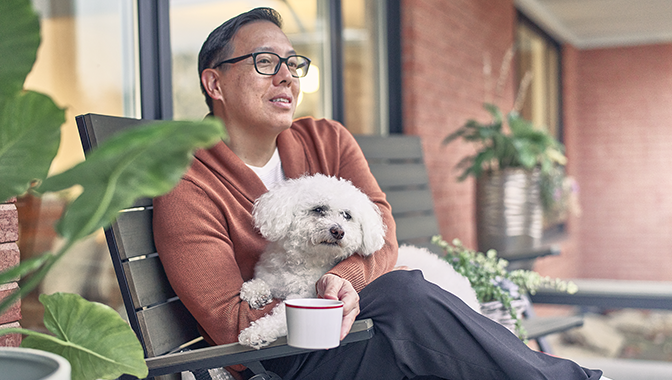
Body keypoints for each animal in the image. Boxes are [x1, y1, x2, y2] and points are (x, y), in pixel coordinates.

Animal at [236, 174, 478, 348]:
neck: (304, 263)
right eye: (318, 209)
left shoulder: (309, 296)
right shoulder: (271, 274)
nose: (338, 231)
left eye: (347, 215)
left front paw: (256, 332)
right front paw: (255, 293)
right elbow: (260, 282)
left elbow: (279, 318)